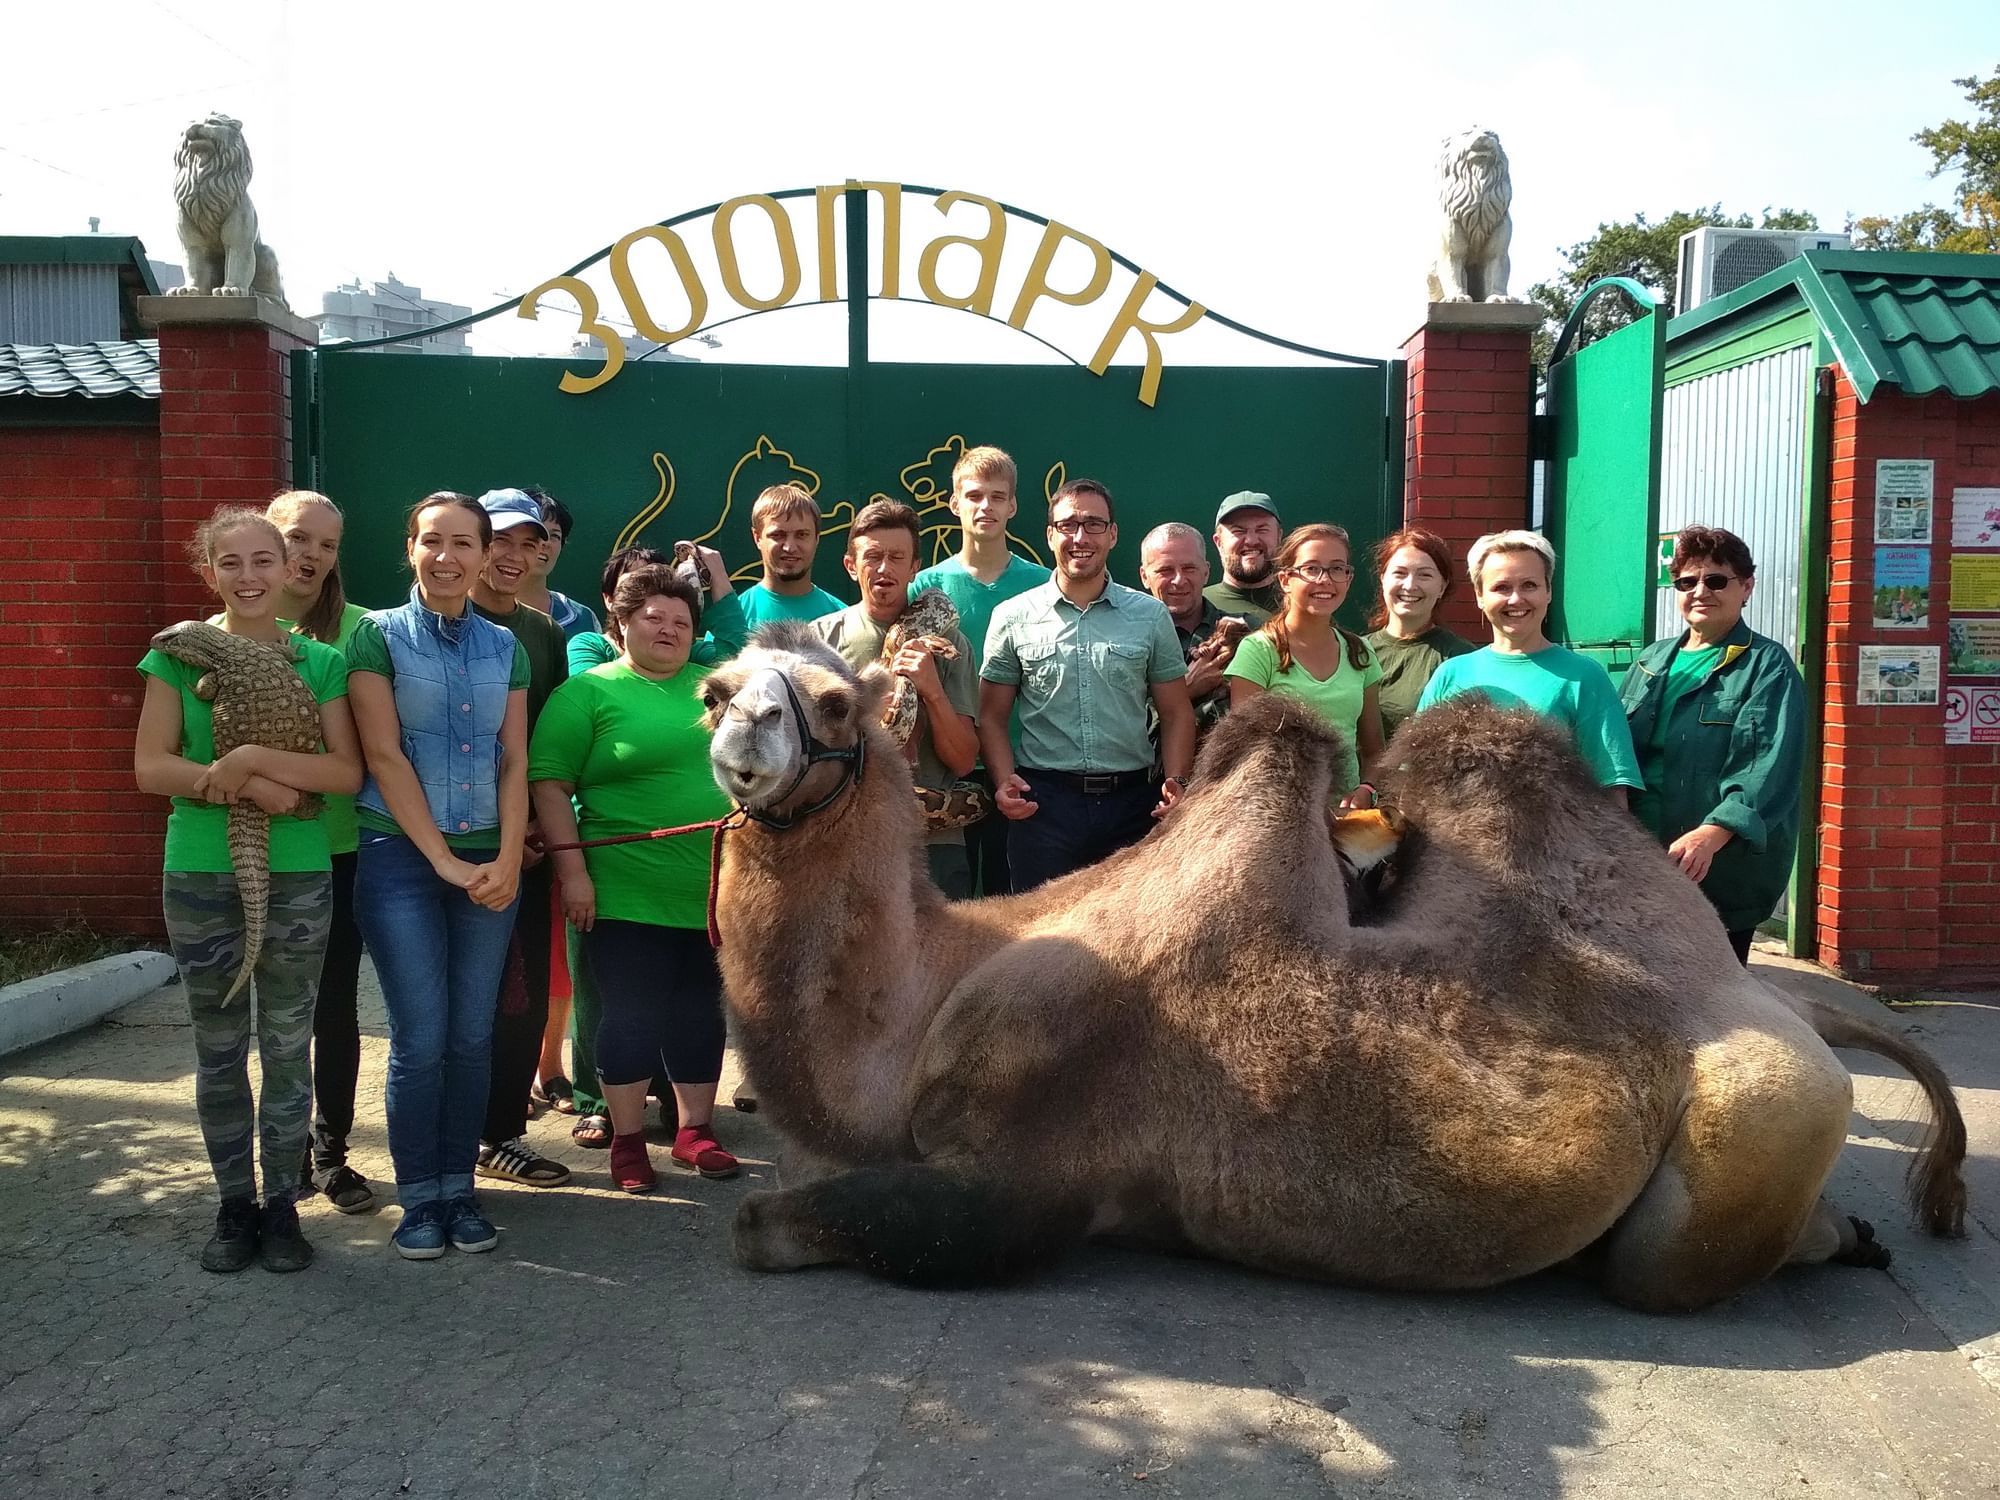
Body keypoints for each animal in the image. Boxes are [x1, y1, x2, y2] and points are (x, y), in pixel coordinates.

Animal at [704, 628, 1968, 1312]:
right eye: (717, 686)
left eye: (831, 703)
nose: (736, 739)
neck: (934, 990)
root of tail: (1767, 994)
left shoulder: (1025, 1179)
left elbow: (788, 1225)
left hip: (1757, 1116)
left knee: (1660, 1265)